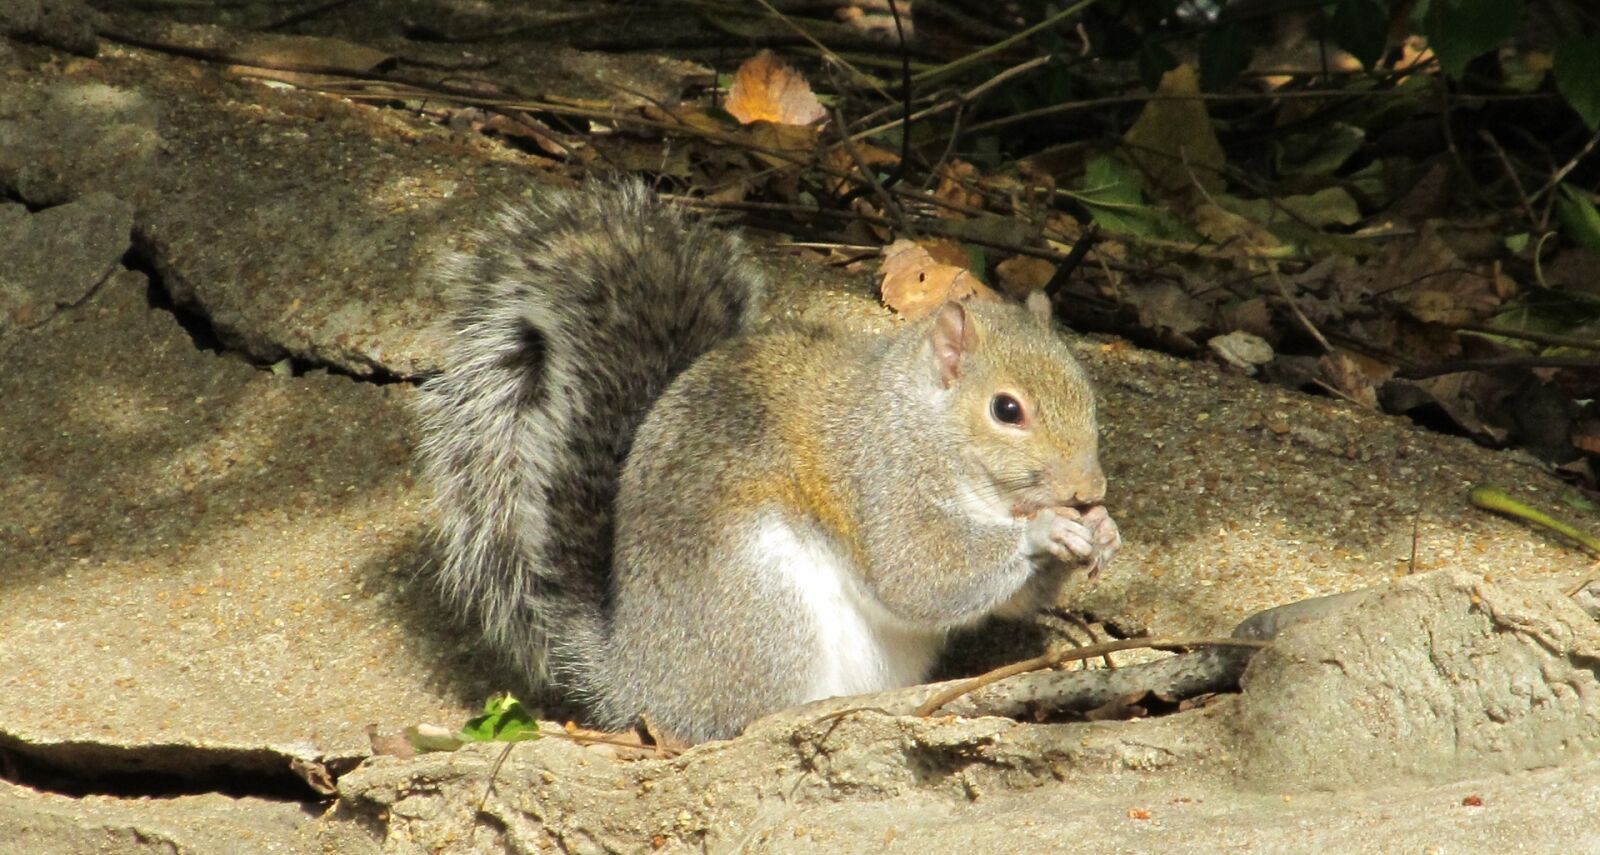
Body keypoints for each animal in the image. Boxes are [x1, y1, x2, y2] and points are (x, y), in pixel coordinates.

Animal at [415, 180, 1121, 743]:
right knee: (737, 719)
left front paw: (1102, 532)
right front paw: (1045, 531)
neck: (922, 423)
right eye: (1007, 409)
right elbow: (918, 571)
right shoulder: (879, 477)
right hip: (762, 607)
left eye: (1087, 387)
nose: (1090, 490)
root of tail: (633, 679)